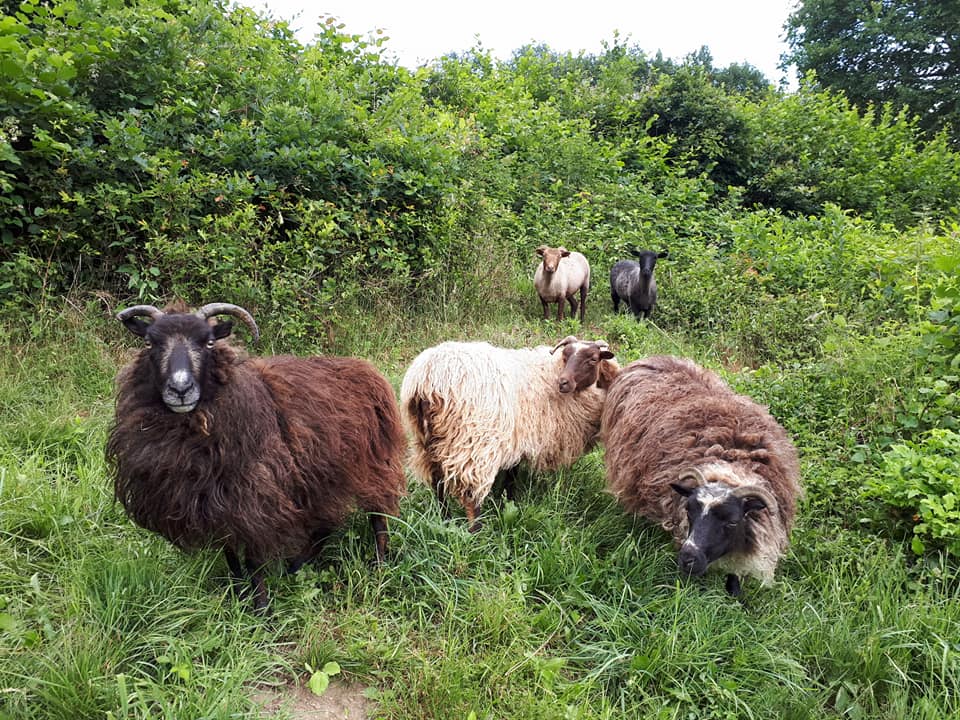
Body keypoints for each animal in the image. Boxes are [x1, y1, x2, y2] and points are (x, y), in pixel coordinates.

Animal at [105, 300, 404, 612]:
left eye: (209, 342)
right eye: (149, 342)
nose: (181, 389)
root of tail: (365, 367)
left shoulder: (253, 496)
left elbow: (253, 559)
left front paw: (262, 609)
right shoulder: (214, 502)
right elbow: (230, 555)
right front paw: (238, 594)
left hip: (372, 462)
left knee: (377, 516)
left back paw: (379, 564)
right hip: (322, 476)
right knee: (326, 525)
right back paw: (295, 565)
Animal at [400, 334, 620, 532]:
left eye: (593, 359)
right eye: (565, 356)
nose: (563, 382)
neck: (550, 372)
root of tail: (427, 379)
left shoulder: (515, 440)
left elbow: (510, 474)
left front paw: (506, 501)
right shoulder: (520, 438)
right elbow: (512, 477)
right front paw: (510, 501)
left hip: (426, 442)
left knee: (437, 484)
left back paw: (444, 519)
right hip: (473, 444)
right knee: (471, 496)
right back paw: (476, 532)